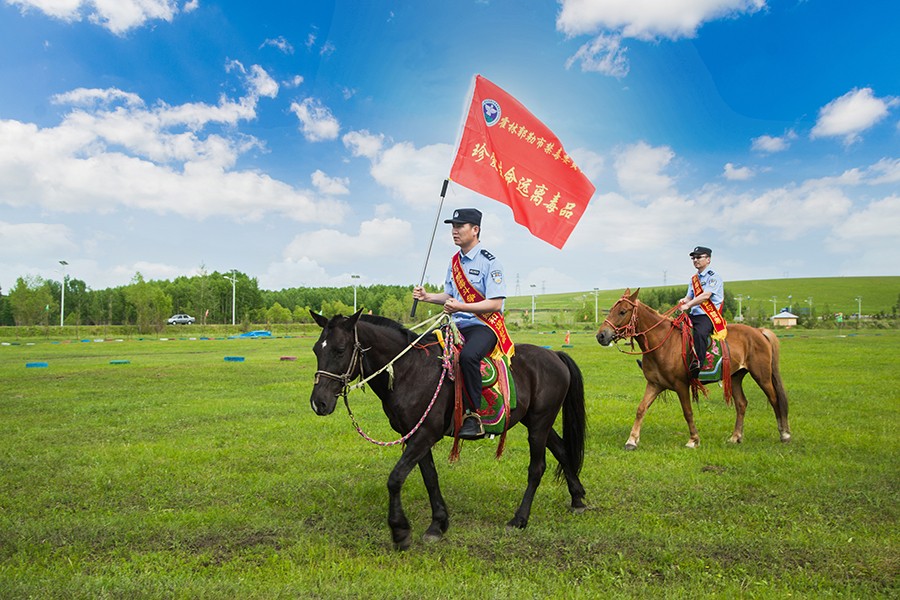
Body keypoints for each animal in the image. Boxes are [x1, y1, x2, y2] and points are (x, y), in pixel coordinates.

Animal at [310, 312, 592, 552]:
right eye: (315, 350)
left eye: (340, 350)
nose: (318, 403)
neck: (409, 370)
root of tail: (555, 356)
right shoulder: (415, 434)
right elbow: (430, 477)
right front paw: (438, 524)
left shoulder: (426, 433)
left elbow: (395, 478)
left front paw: (400, 531)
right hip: (536, 422)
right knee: (562, 450)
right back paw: (577, 499)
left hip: (539, 423)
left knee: (537, 468)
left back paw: (520, 519)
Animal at [596, 288, 792, 448]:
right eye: (611, 310)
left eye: (622, 311)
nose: (601, 335)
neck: (663, 343)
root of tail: (759, 331)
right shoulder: (655, 384)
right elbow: (640, 409)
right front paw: (631, 440)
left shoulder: (681, 385)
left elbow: (688, 412)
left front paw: (693, 440)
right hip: (736, 376)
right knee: (741, 404)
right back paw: (735, 437)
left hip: (762, 375)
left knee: (774, 399)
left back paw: (784, 434)